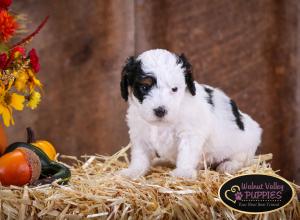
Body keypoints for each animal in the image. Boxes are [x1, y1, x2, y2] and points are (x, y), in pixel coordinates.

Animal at [118, 48, 262, 179]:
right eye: (144, 87)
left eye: (174, 89)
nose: (160, 110)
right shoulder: (139, 133)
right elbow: (140, 155)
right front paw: (134, 171)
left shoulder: (190, 133)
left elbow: (186, 153)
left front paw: (183, 172)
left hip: (244, 144)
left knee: (240, 159)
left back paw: (228, 165)